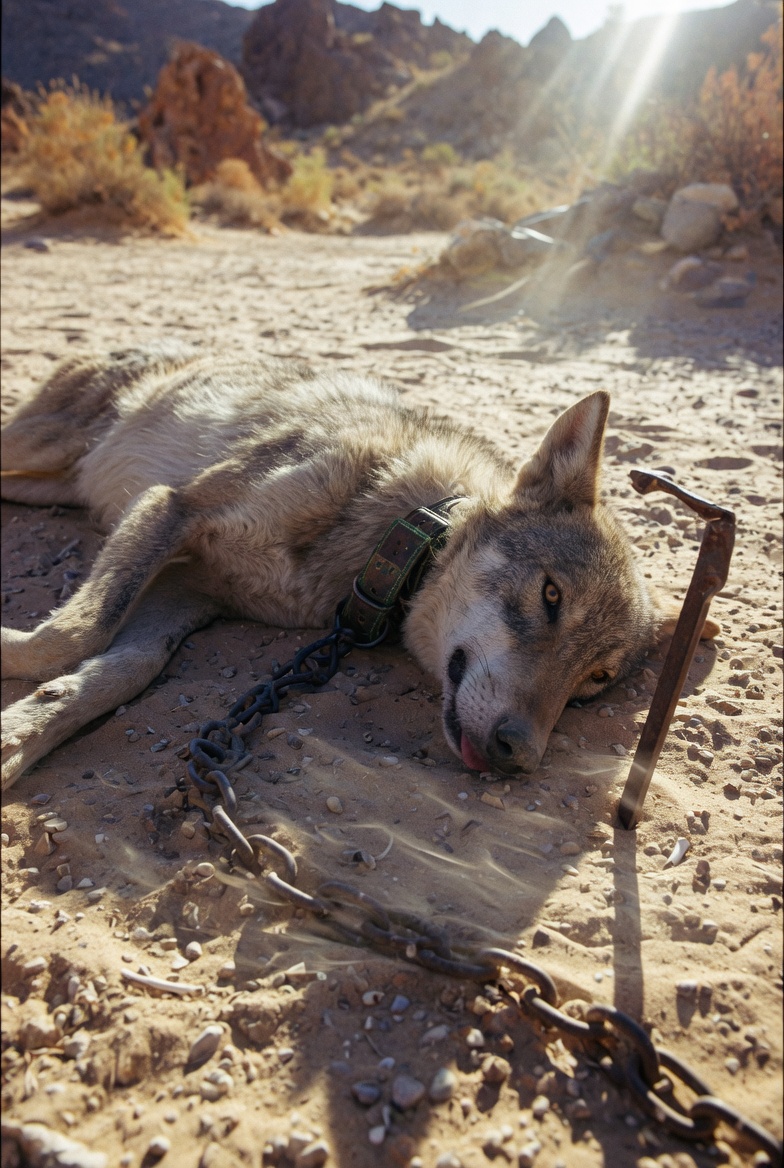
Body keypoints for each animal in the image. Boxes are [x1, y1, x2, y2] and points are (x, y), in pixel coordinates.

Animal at [1, 345, 712, 790]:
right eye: (551, 597)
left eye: (594, 680)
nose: (520, 757)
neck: (392, 531)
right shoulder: (174, 505)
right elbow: (76, 633)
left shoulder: (190, 588)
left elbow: (119, 669)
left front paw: (16, 737)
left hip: (51, 486)